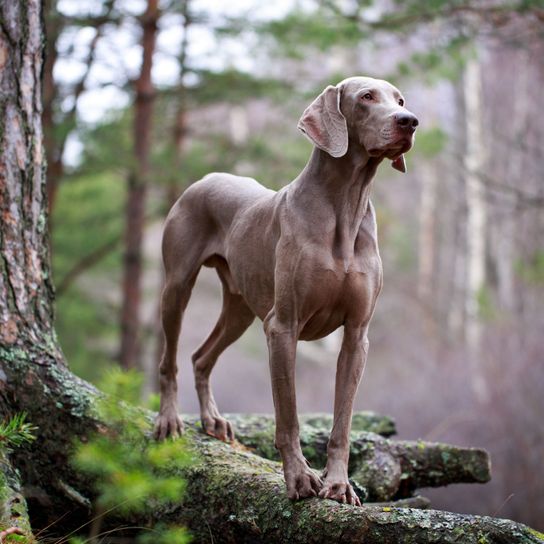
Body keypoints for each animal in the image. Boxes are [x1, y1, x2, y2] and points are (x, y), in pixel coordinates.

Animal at [155, 75, 418, 506]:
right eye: (366, 97)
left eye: (399, 100)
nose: (409, 121)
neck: (345, 206)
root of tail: (206, 178)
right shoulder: (282, 327)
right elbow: (288, 417)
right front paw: (299, 479)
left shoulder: (356, 336)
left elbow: (342, 423)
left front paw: (338, 484)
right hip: (177, 287)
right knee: (170, 360)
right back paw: (169, 419)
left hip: (240, 309)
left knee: (200, 357)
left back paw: (212, 420)